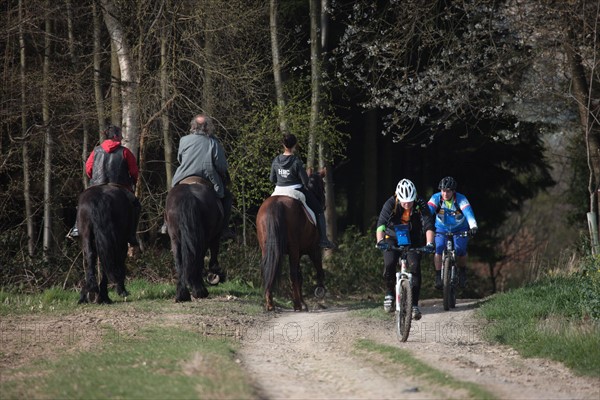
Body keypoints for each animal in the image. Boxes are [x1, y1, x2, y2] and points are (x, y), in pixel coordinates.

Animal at [255, 167, 326, 310]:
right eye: (323, 186)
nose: (324, 205)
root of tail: (275, 204)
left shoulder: (298, 252)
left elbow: (300, 276)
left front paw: (302, 302)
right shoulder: (312, 250)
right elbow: (315, 270)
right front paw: (319, 290)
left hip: (266, 249)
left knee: (268, 271)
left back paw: (270, 303)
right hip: (294, 249)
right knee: (292, 274)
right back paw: (297, 305)